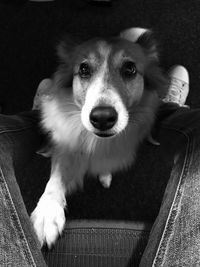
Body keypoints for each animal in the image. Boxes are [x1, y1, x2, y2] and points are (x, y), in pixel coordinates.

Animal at [30, 27, 167, 249]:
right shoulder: (66, 147)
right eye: (84, 69)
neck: (98, 142)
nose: (102, 117)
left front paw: (105, 175)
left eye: (130, 69)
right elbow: (56, 178)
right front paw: (47, 213)